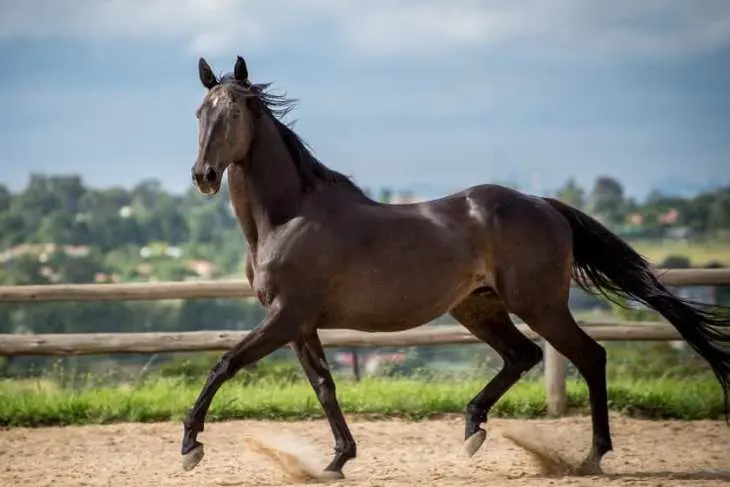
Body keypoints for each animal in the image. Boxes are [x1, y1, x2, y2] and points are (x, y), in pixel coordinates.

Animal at [182, 55, 728, 478]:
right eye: (200, 112)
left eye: (234, 111)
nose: (203, 176)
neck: (289, 217)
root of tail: (546, 205)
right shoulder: (298, 323)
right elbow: (324, 386)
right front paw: (339, 459)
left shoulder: (286, 316)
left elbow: (224, 363)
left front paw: (191, 445)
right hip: (478, 307)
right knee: (524, 355)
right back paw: (473, 429)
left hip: (540, 305)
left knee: (589, 356)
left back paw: (591, 456)